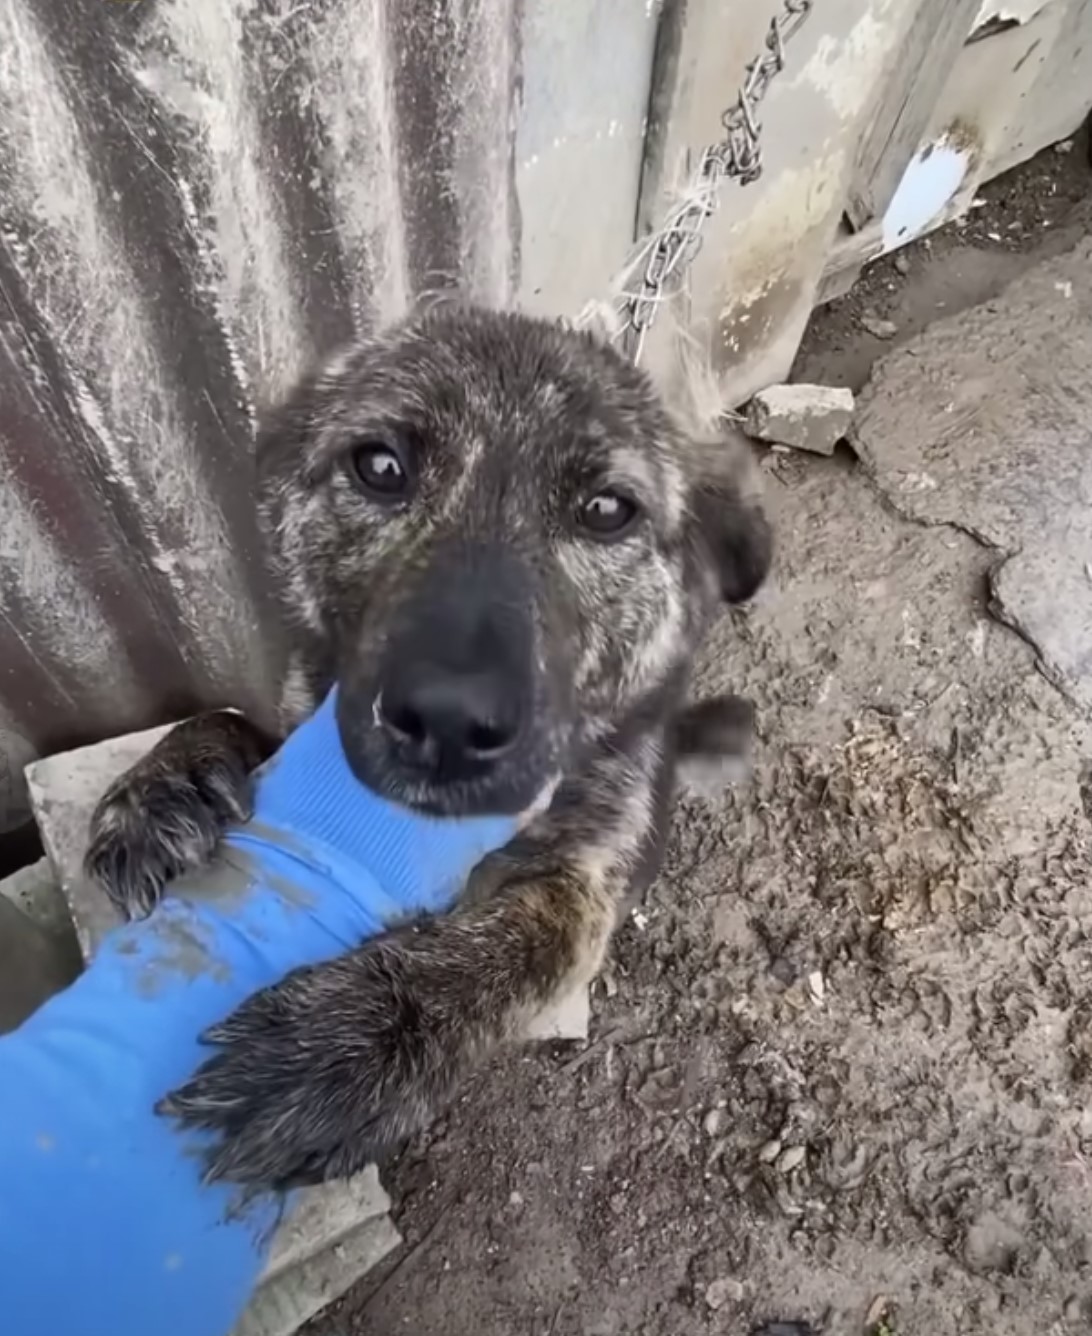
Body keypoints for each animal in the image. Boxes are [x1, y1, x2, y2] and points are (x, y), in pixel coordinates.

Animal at [83, 305, 764, 1191]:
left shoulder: (591, 874)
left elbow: (531, 937)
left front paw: (362, 1036)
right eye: (380, 466)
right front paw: (163, 788)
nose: (447, 721)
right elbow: (230, 718)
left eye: (608, 510)